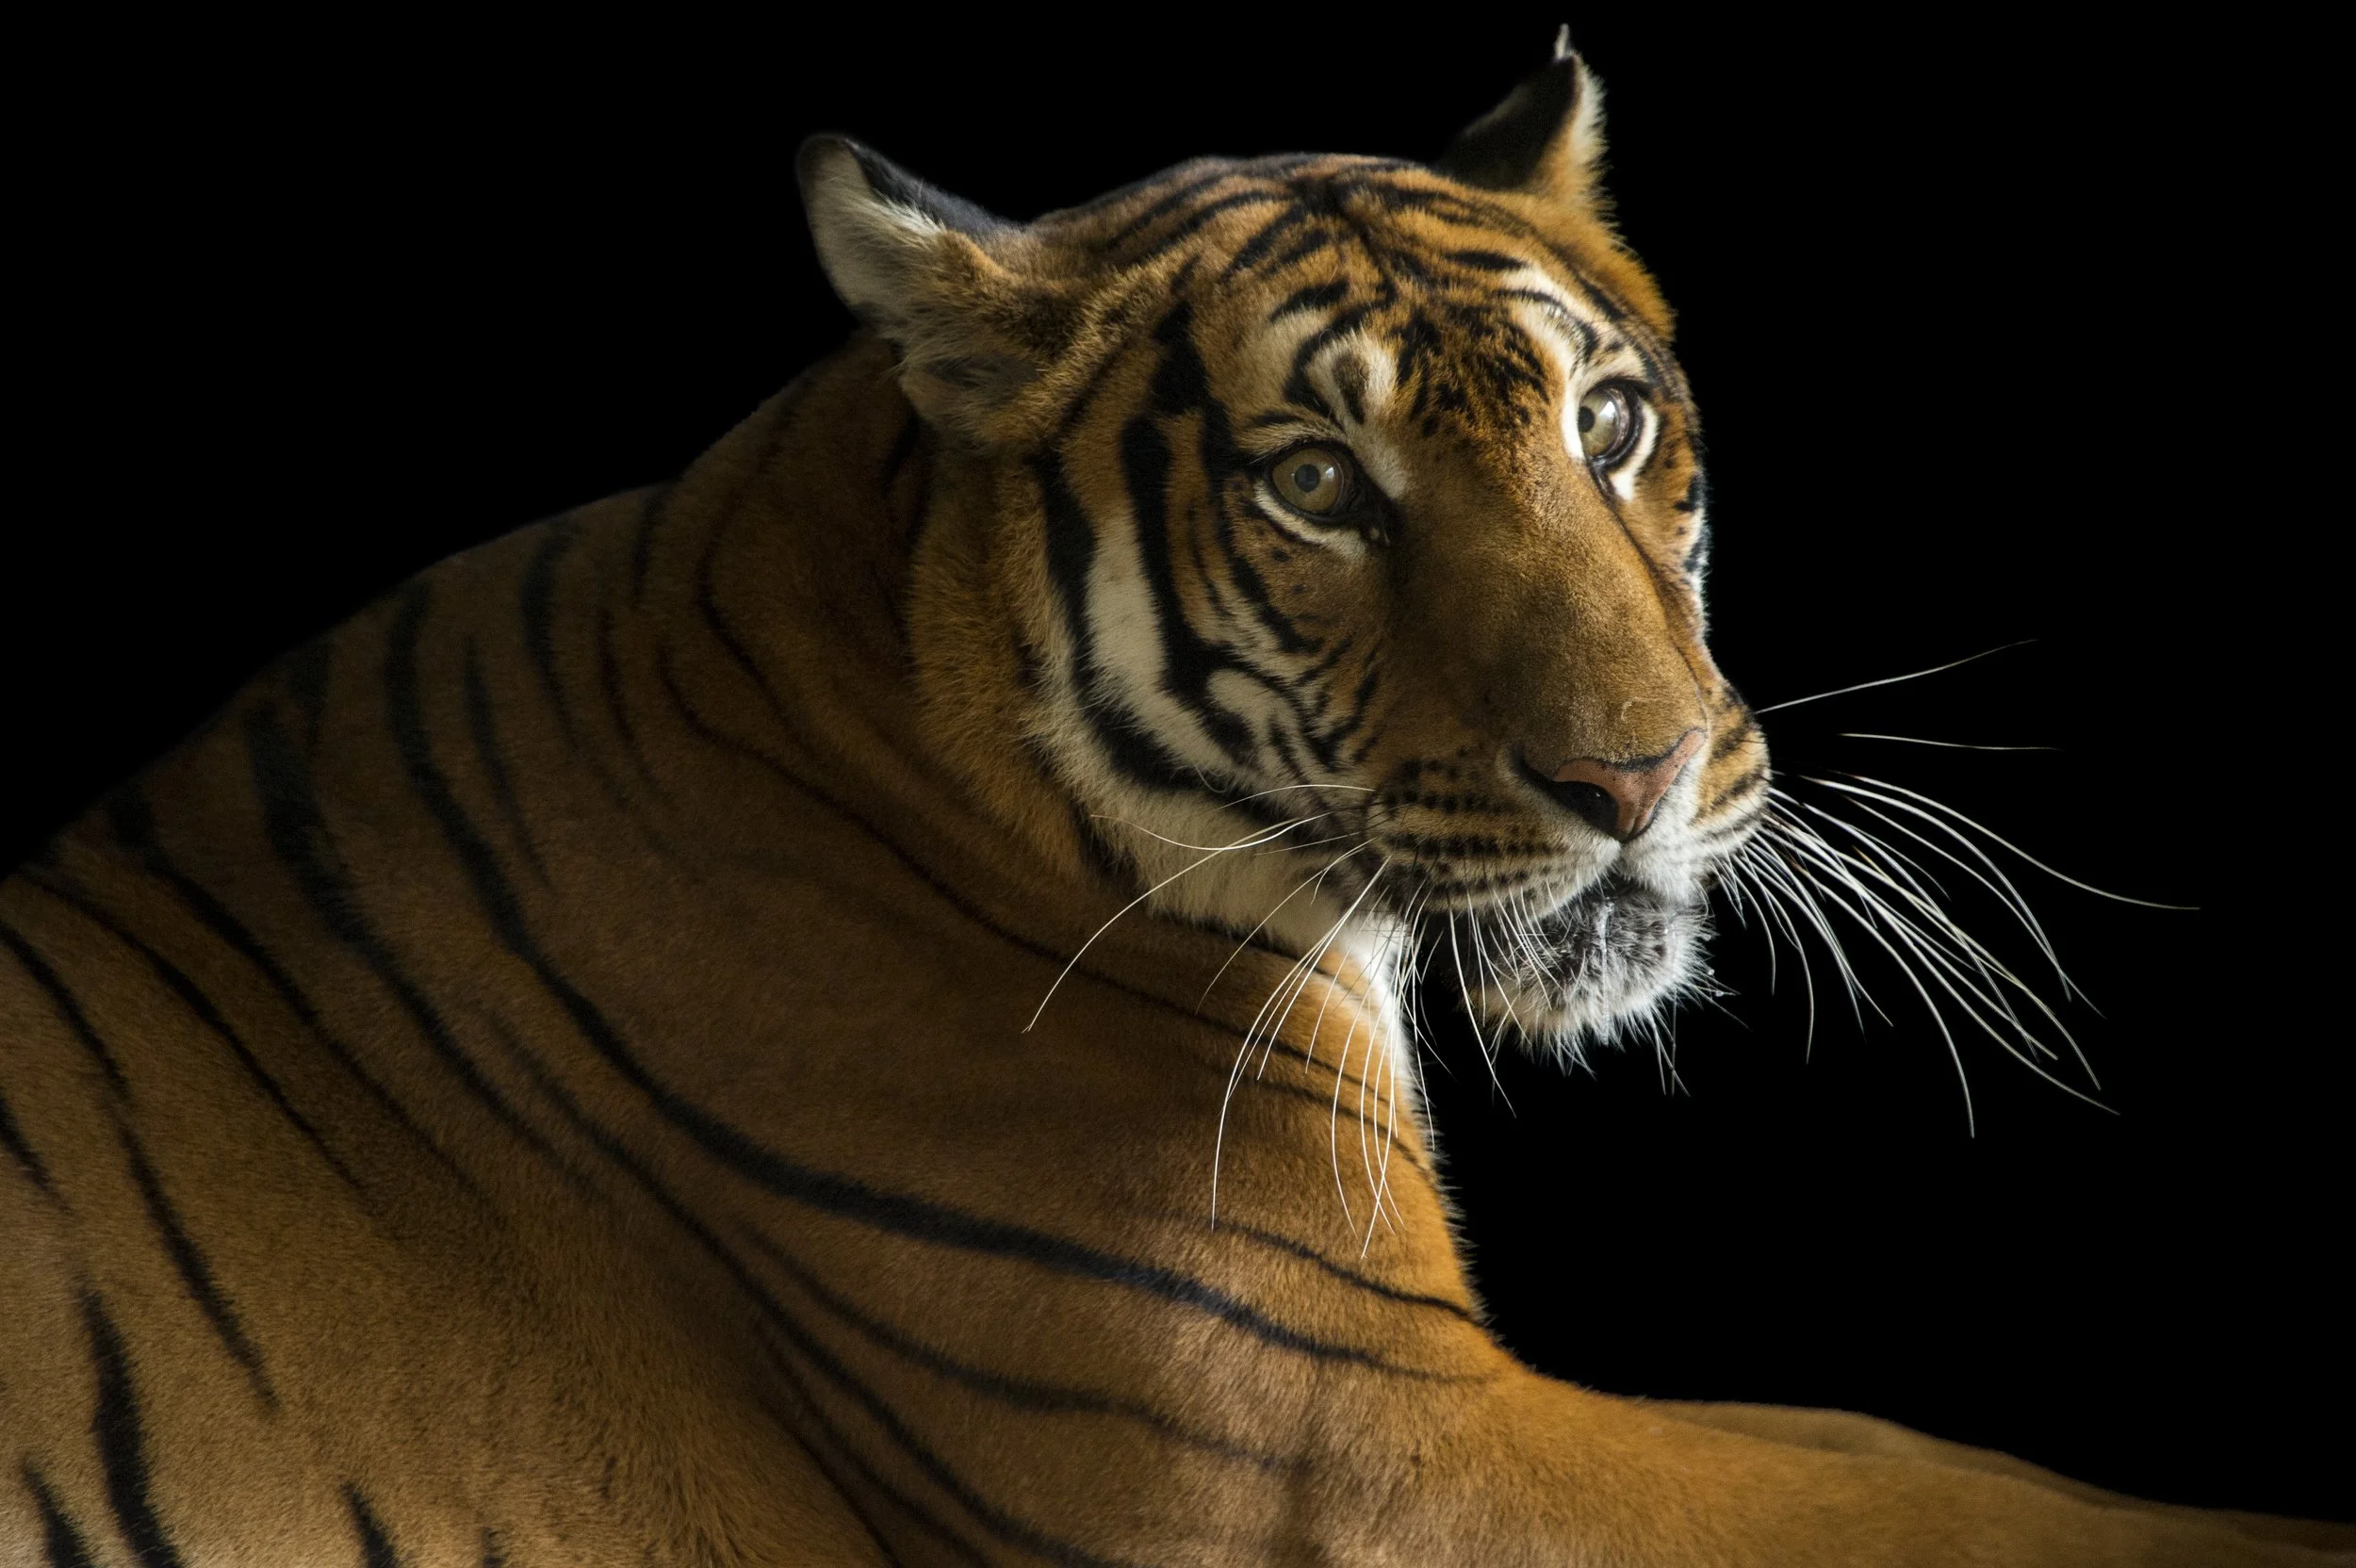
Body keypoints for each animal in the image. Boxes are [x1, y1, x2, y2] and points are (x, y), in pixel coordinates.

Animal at [3, 36, 2348, 1568]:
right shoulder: (1371, 1455)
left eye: (1603, 426)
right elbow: (1969, 1514)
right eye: (1317, 484)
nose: (1635, 773)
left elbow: (1934, 1454)